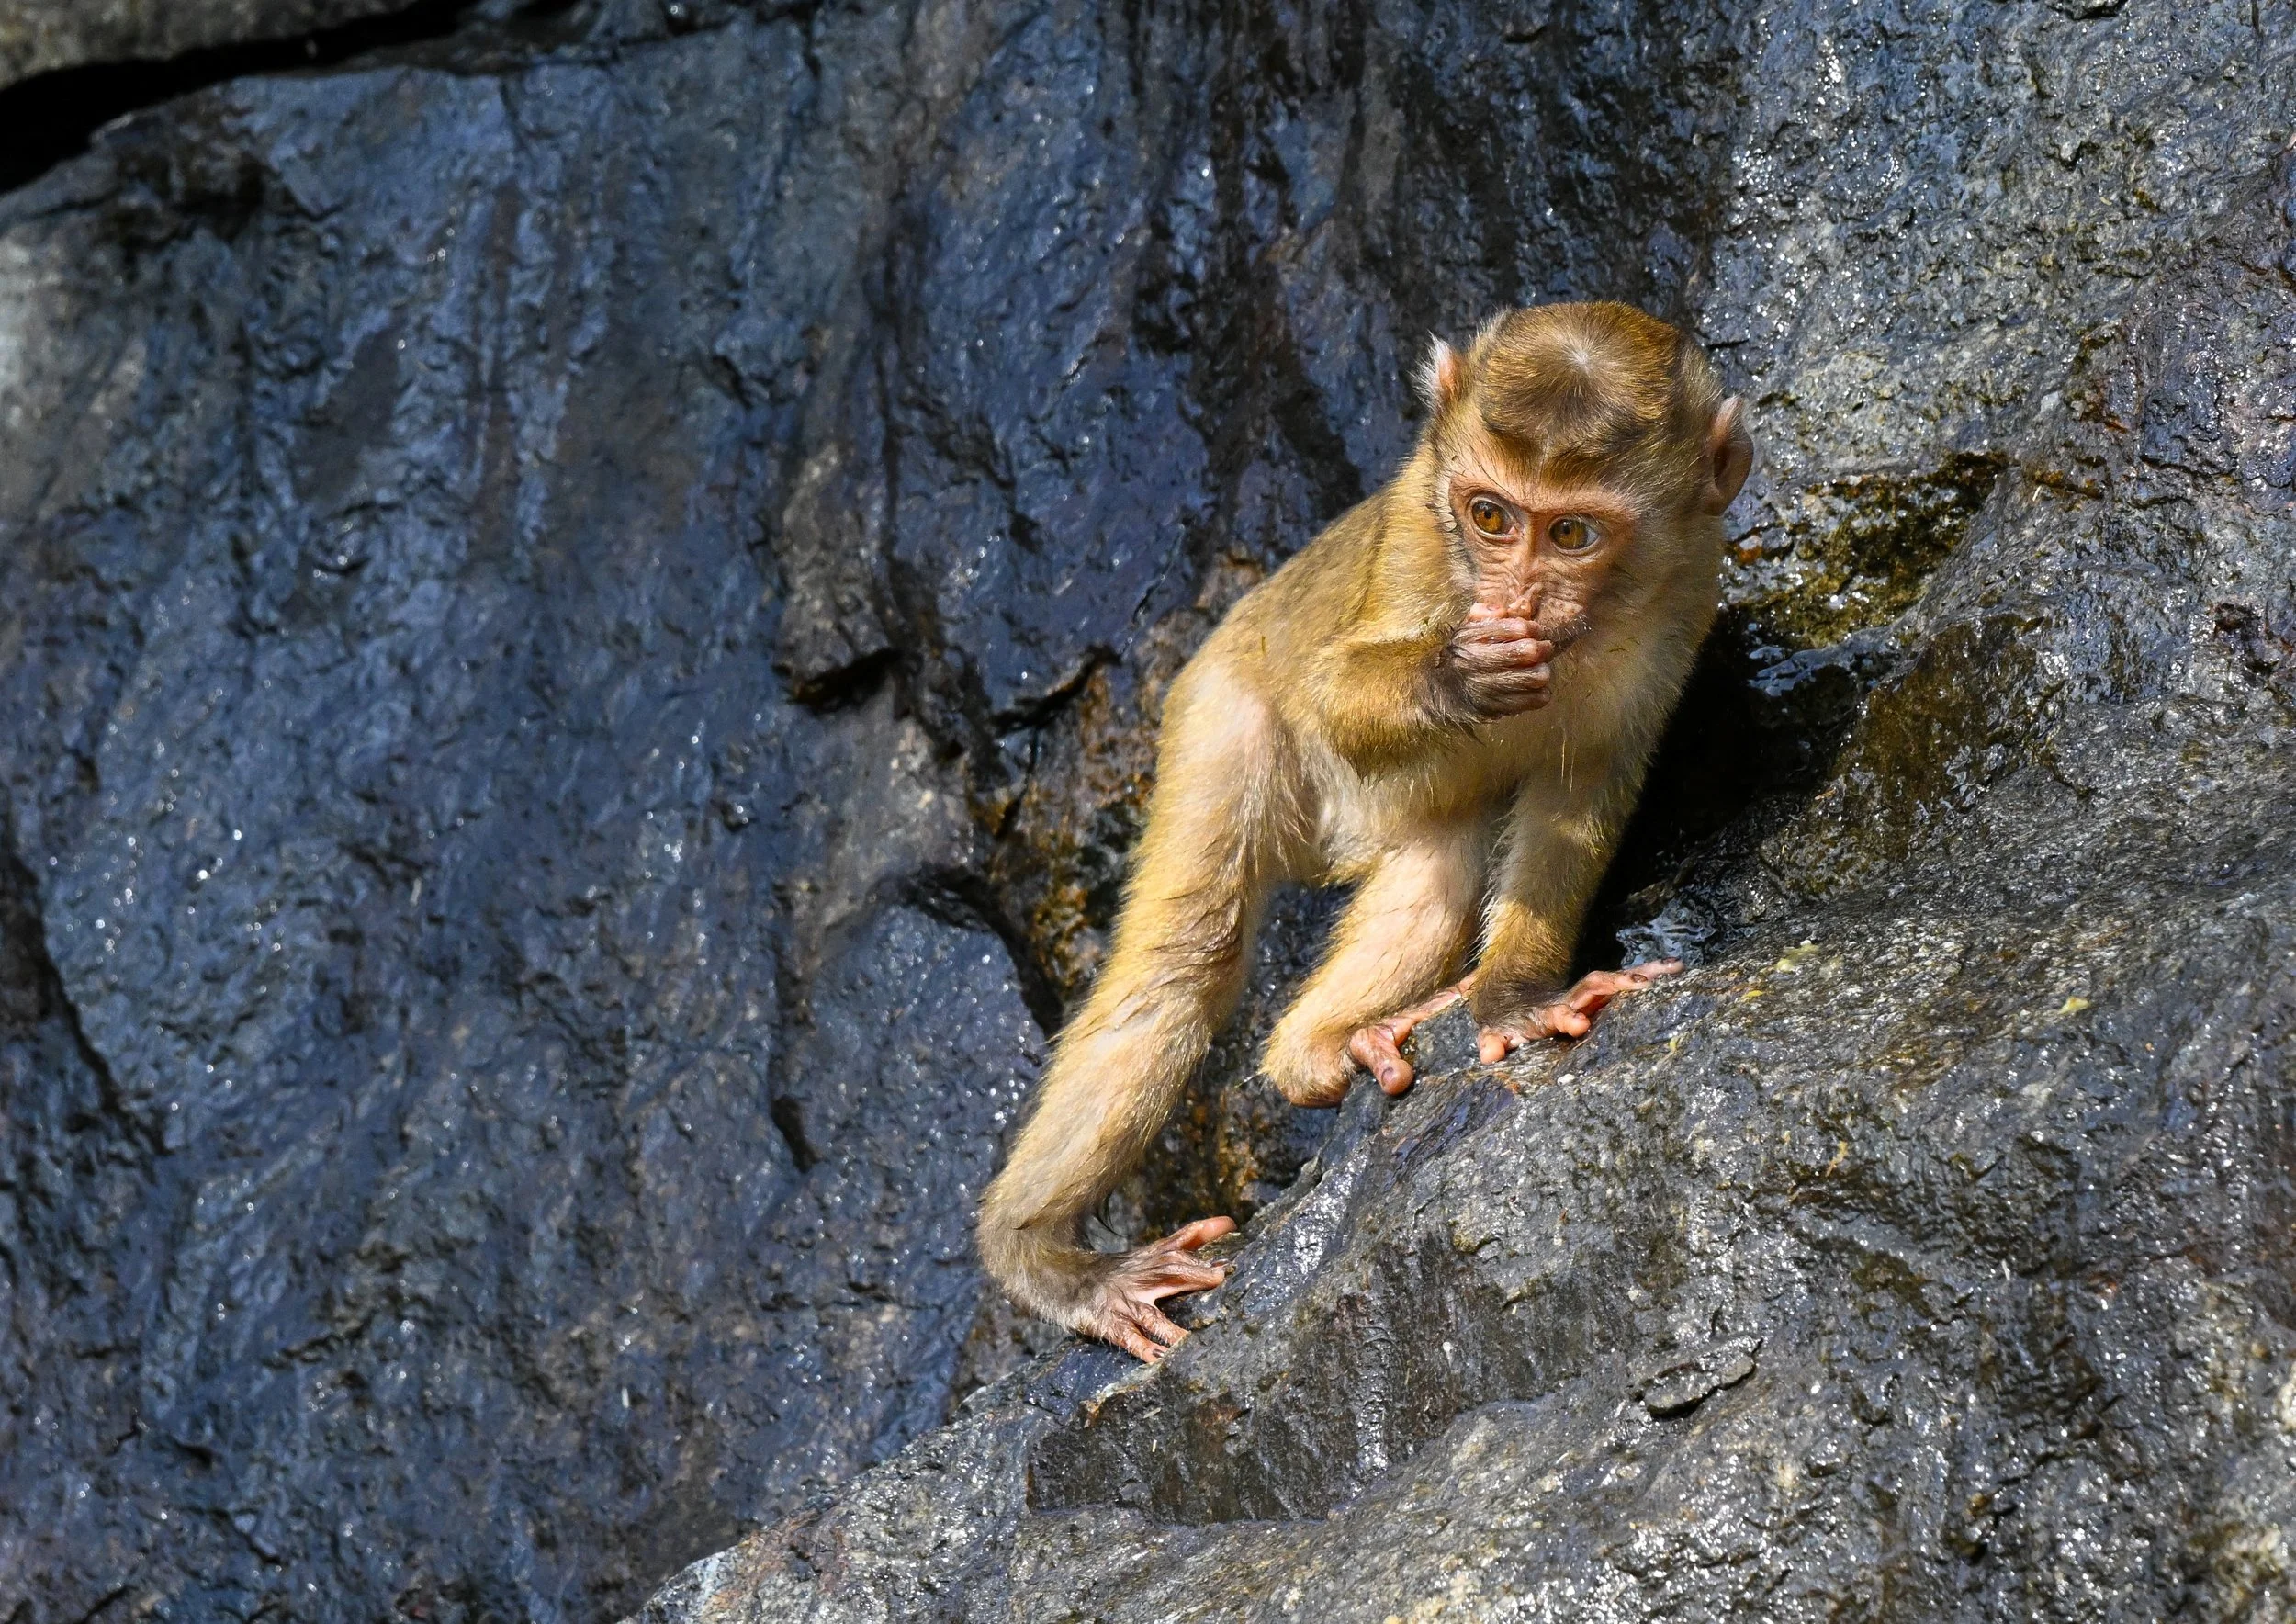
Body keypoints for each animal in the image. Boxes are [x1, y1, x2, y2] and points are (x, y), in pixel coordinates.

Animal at [977, 302, 1755, 1363]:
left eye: (1572, 531)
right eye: (1490, 517)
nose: (1514, 596)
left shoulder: (1687, 591)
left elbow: (1581, 790)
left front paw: (1516, 998)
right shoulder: (1420, 537)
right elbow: (1337, 694)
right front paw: (1458, 673)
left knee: (1439, 865)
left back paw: (1328, 1047)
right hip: (1221, 704)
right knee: (1185, 953)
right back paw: (1046, 1259)